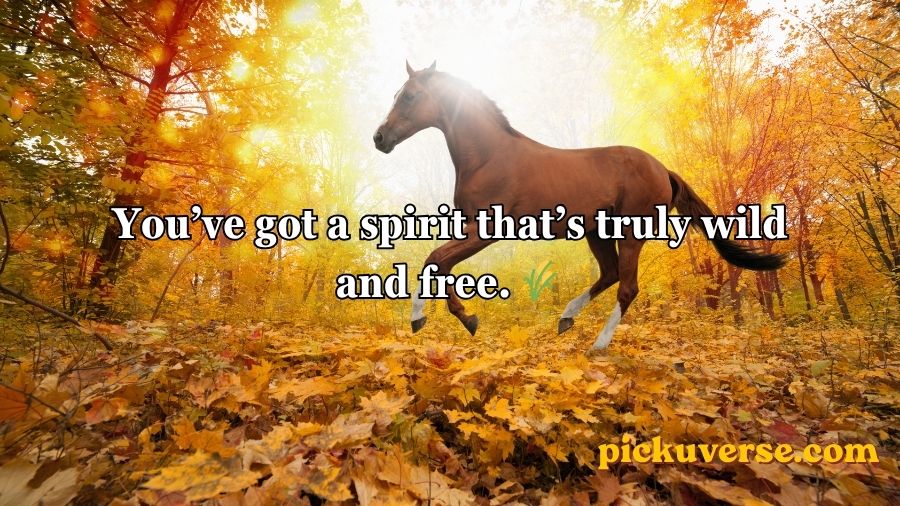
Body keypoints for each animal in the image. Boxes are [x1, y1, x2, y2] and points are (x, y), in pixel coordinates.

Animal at [374, 61, 785, 353]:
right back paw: (566, 318)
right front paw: (445, 317)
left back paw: (597, 345)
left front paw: (447, 319)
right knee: (610, 275)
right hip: (597, 233)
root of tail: (662, 169)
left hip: (632, 232)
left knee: (627, 287)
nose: (379, 138)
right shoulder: (469, 228)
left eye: (410, 95)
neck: (489, 157)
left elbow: (436, 260)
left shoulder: (485, 231)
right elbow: (437, 262)